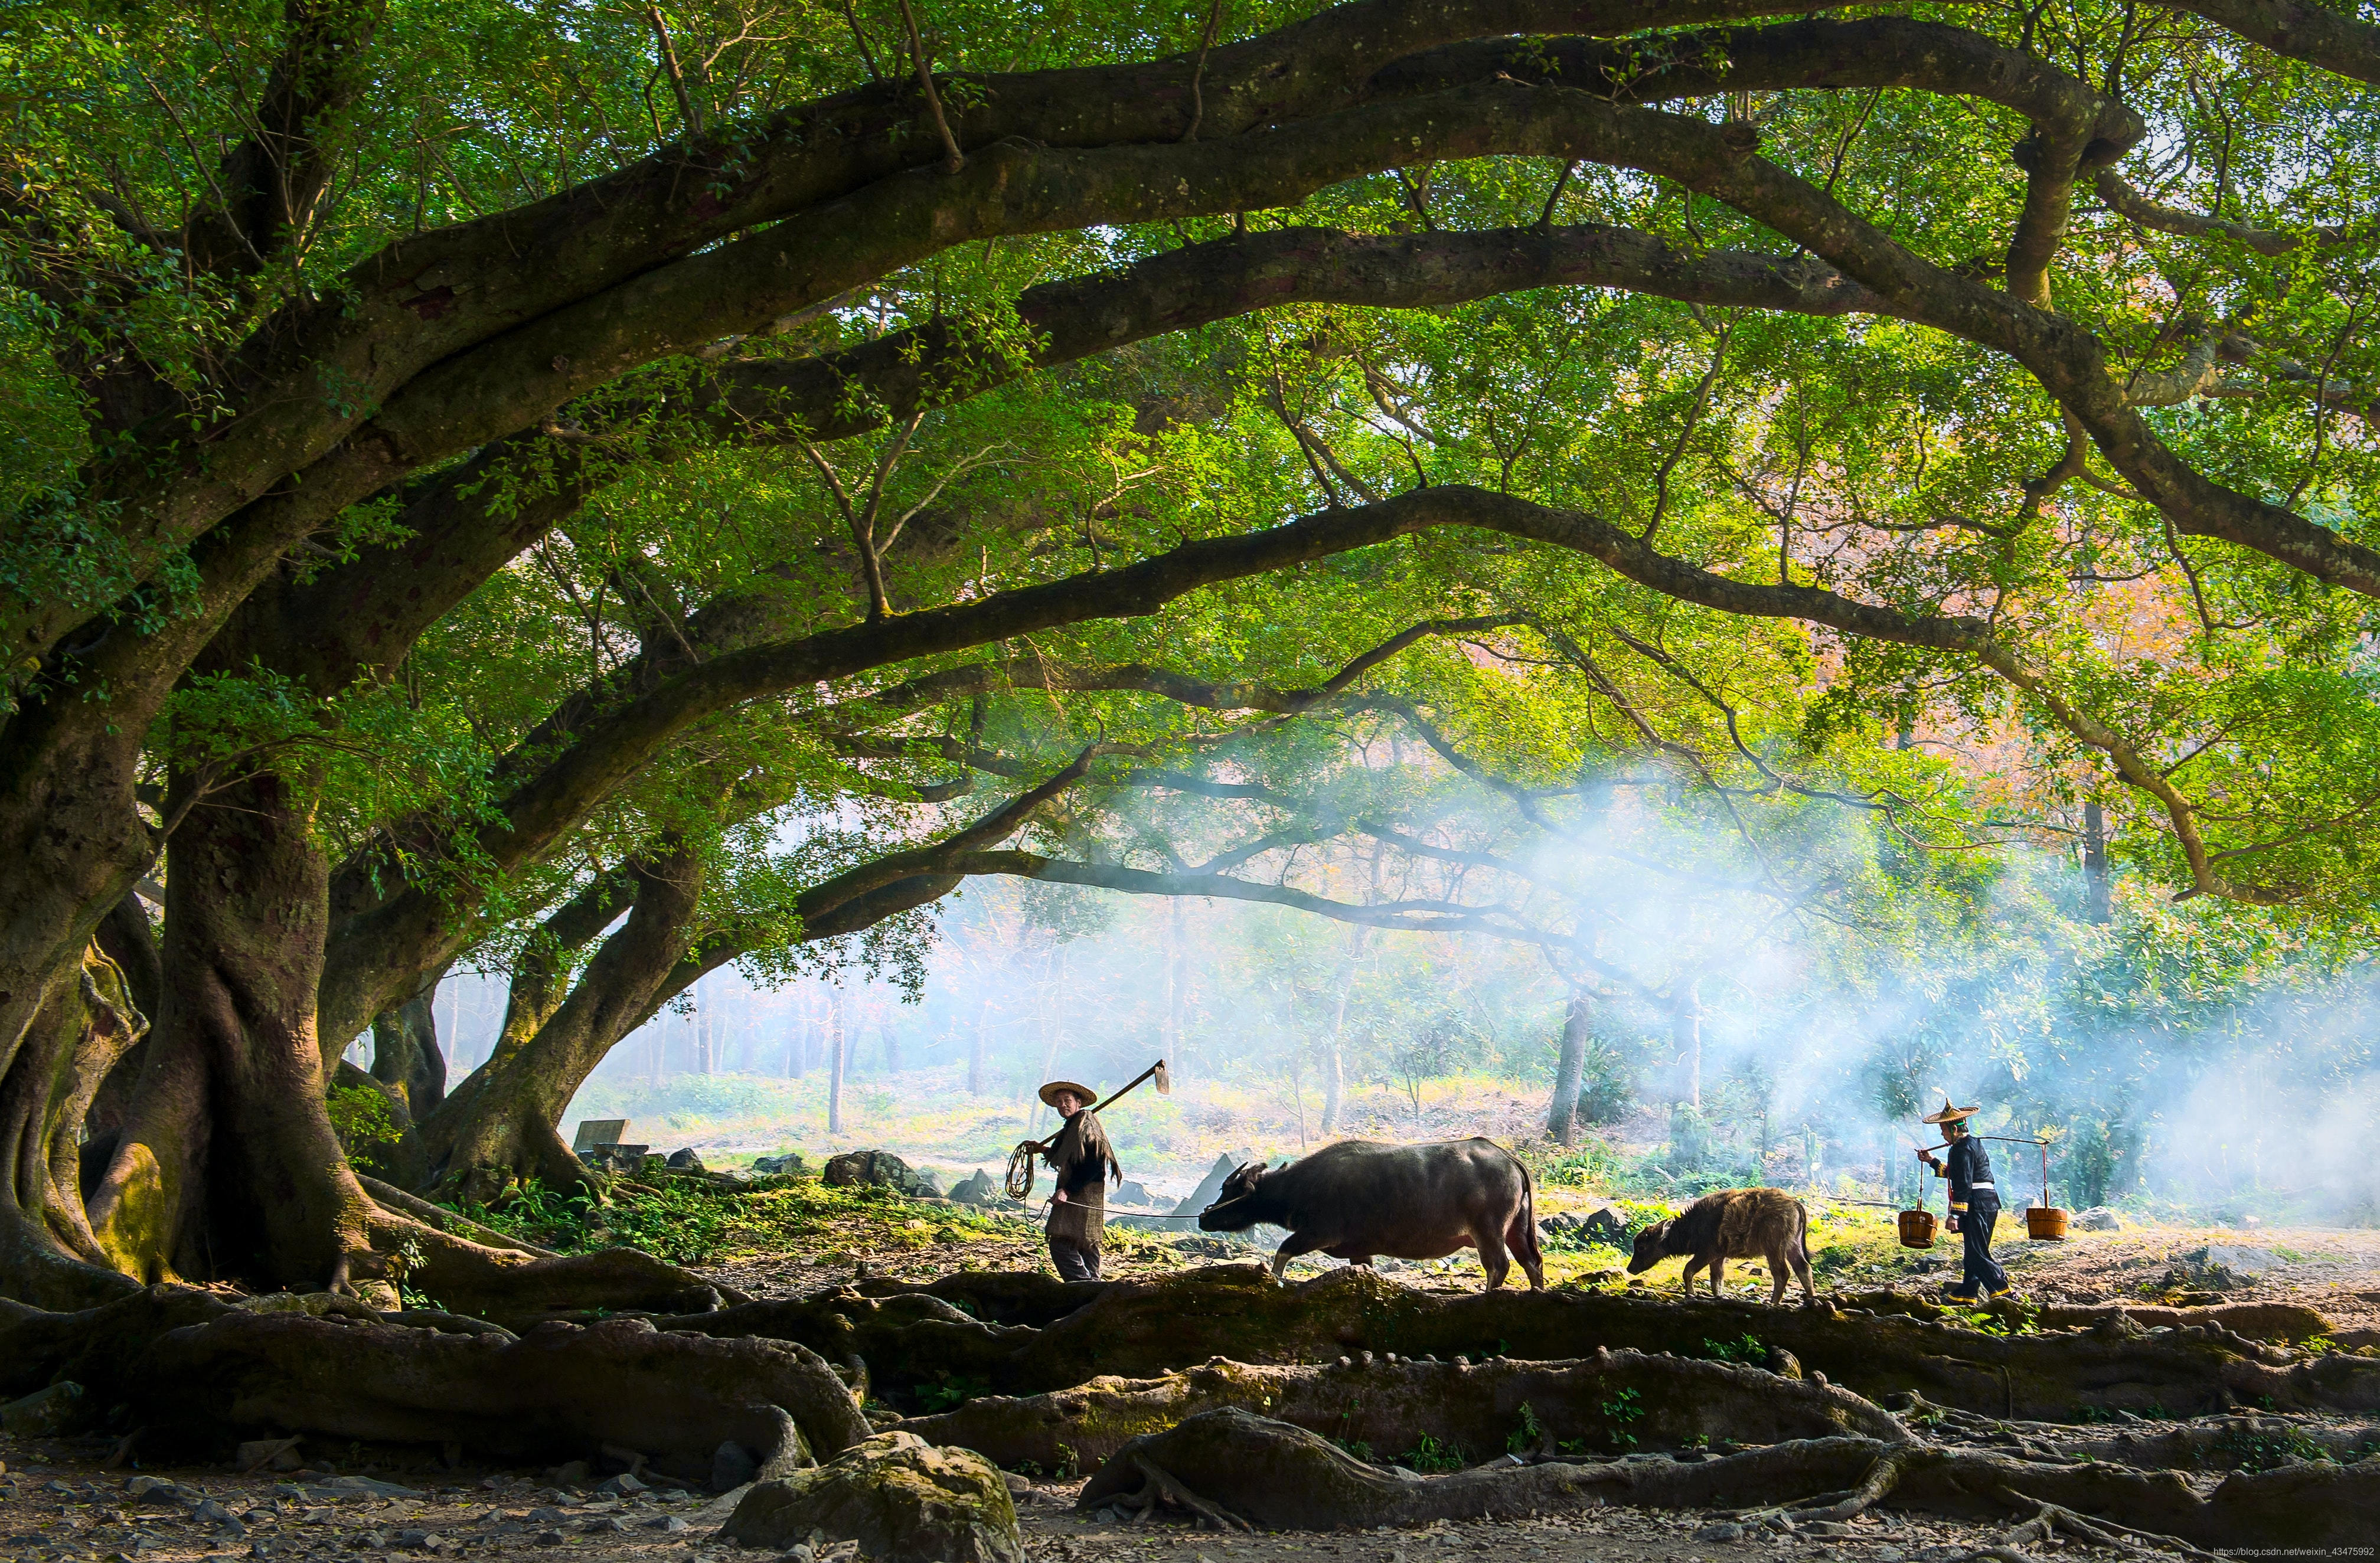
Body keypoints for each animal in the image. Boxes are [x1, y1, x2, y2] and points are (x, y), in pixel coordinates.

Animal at [1199, 1132, 1552, 1294]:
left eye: (1230, 1190)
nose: (1204, 1217)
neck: (1301, 1186)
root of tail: (1507, 1158)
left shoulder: (1319, 1233)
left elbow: (1283, 1252)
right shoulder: (1360, 1251)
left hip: (1488, 1231)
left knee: (1498, 1265)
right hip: (1516, 1228)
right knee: (1531, 1262)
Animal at [1628, 1185, 1808, 1303]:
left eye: (1642, 1247)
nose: (1630, 1269)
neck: (1694, 1225)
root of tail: (1795, 1204)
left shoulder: (1708, 1253)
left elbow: (1688, 1270)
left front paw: (1690, 1294)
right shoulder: (1719, 1258)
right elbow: (1717, 1280)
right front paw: (1718, 1296)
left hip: (1774, 1248)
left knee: (1782, 1273)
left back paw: (1773, 1302)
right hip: (1793, 1246)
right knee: (1803, 1268)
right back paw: (1811, 1299)